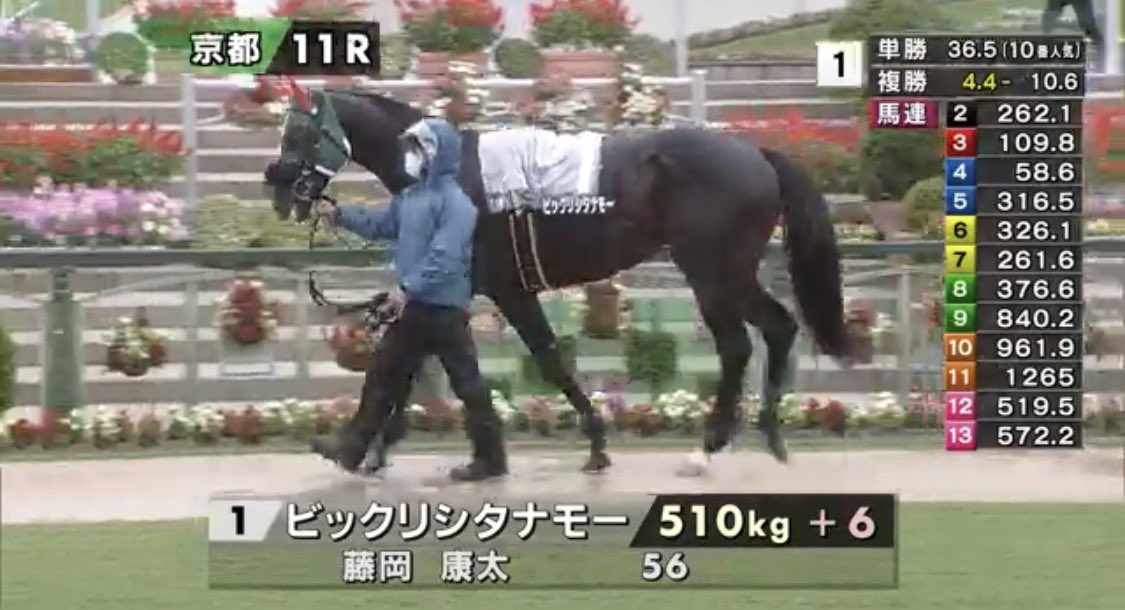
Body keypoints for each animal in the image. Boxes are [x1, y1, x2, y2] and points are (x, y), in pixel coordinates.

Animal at [261, 84, 855, 476]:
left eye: (301, 132)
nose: (278, 188)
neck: (448, 174)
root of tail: (757, 153)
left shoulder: (505, 288)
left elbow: (544, 358)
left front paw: (593, 446)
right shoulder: (458, 292)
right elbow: (419, 361)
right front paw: (376, 450)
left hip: (711, 271)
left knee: (737, 345)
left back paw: (707, 448)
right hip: (729, 272)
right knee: (777, 327)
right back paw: (770, 436)